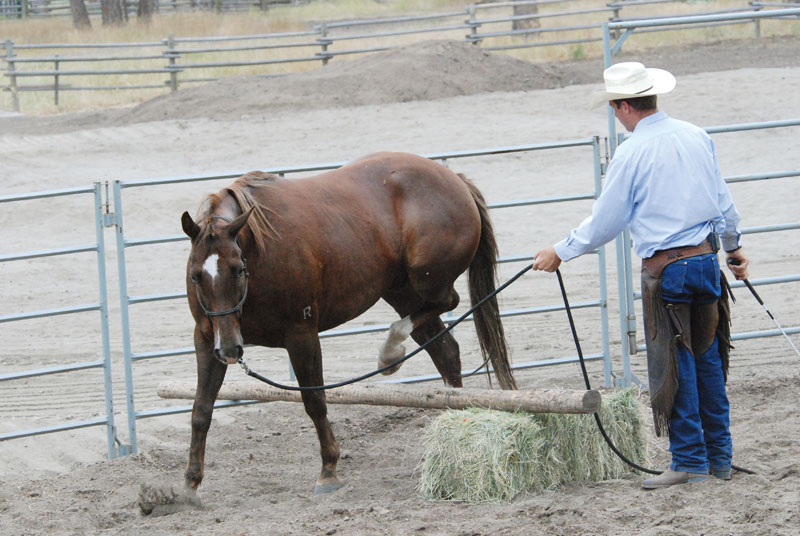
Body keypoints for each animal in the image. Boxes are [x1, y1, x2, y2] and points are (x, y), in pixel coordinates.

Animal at [180, 150, 520, 494]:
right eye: (196, 275)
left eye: (237, 269)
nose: (231, 351)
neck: (260, 251)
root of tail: (456, 181)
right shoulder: (209, 339)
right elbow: (201, 409)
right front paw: (191, 483)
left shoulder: (301, 335)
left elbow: (314, 401)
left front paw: (329, 469)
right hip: (403, 292)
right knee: (446, 351)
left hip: (426, 281)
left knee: (447, 304)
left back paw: (390, 354)